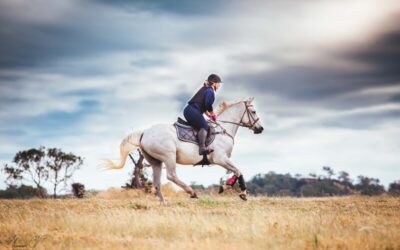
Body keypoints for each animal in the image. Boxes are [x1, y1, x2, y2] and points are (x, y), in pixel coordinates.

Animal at [104, 96, 264, 202]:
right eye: (254, 112)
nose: (260, 129)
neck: (223, 129)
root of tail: (144, 133)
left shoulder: (223, 159)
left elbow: (236, 172)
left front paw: (228, 186)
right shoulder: (220, 158)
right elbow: (238, 171)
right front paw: (240, 192)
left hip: (156, 161)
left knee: (157, 181)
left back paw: (163, 202)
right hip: (169, 156)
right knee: (171, 176)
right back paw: (191, 192)